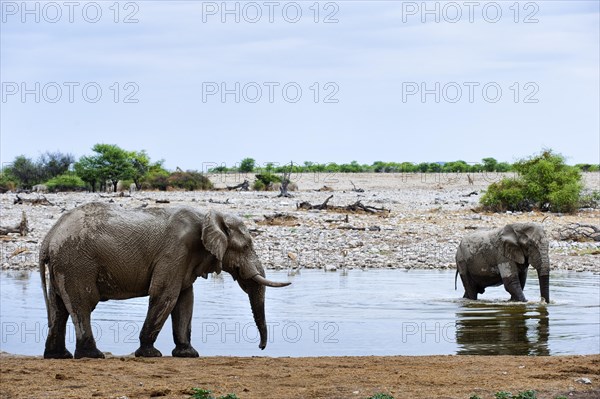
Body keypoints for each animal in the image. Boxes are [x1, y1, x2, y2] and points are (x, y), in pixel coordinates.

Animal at [38, 203, 292, 360]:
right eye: (246, 246)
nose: (260, 348)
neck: (207, 216)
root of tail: (49, 237)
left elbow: (185, 300)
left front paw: (188, 354)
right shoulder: (176, 251)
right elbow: (165, 295)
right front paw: (150, 354)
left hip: (63, 265)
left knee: (59, 308)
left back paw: (57, 356)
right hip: (76, 263)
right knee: (82, 305)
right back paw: (92, 355)